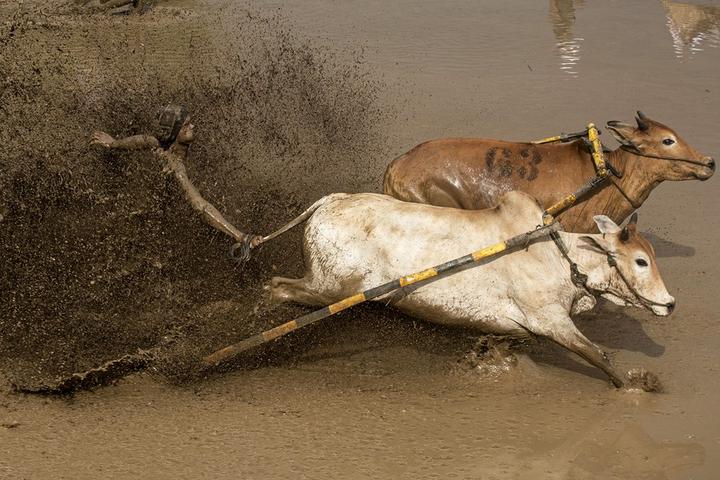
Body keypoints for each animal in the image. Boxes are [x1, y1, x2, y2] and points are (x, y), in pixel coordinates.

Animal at [270, 191, 675, 390]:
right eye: (641, 261)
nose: (670, 304)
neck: (561, 257)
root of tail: (330, 202)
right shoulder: (551, 321)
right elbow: (597, 355)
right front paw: (637, 385)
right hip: (327, 288)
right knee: (277, 289)